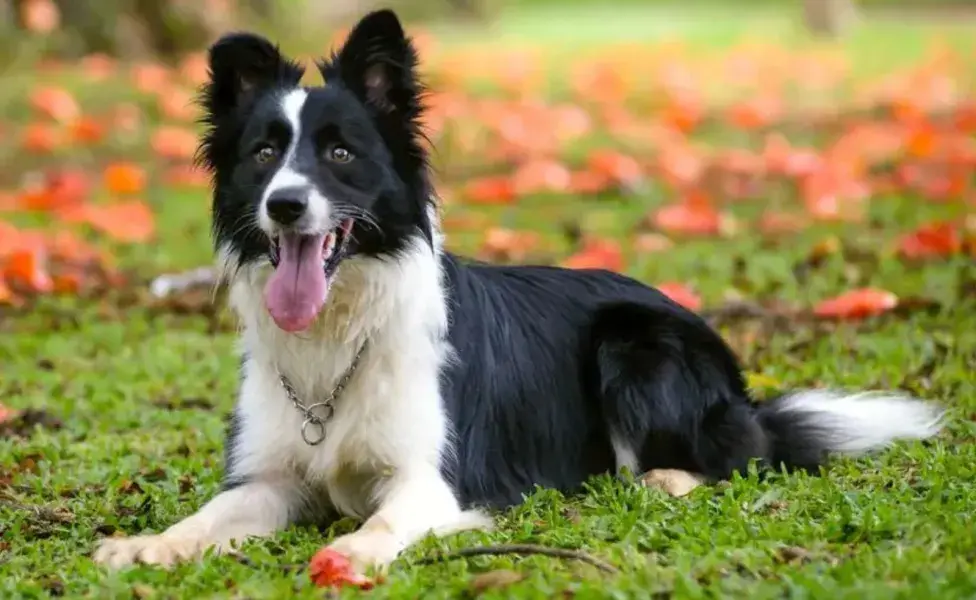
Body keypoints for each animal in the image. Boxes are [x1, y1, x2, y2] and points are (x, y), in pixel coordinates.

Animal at [93, 8, 944, 572]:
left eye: (338, 152)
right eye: (265, 154)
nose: (286, 206)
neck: (341, 331)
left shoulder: (433, 481)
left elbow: (381, 525)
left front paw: (351, 554)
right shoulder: (270, 478)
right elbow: (207, 515)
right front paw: (146, 544)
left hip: (636, 345)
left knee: (734, 459)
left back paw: (663, 478)